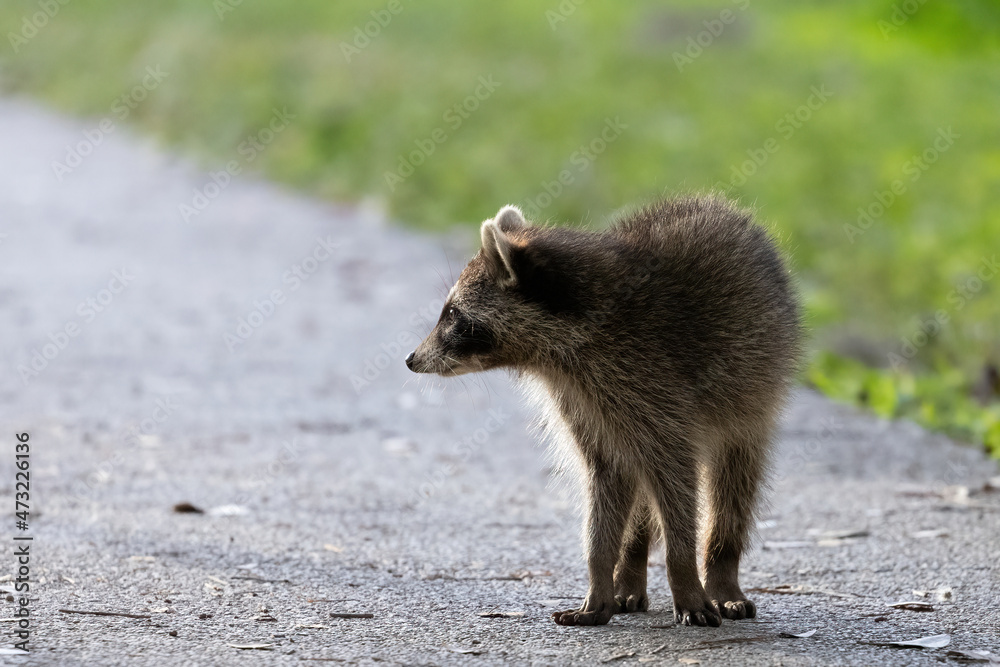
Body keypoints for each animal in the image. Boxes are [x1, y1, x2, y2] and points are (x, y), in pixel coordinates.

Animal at [405, 196, 801, 627]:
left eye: (453, 315)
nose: (411, 359)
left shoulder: (651, 386)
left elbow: (676, 480)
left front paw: (684, 577)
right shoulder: (582, 400)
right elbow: (606, 478)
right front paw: (599, 580)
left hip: (753, 392)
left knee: (734, 484)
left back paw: (721, 570)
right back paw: (629, 568)